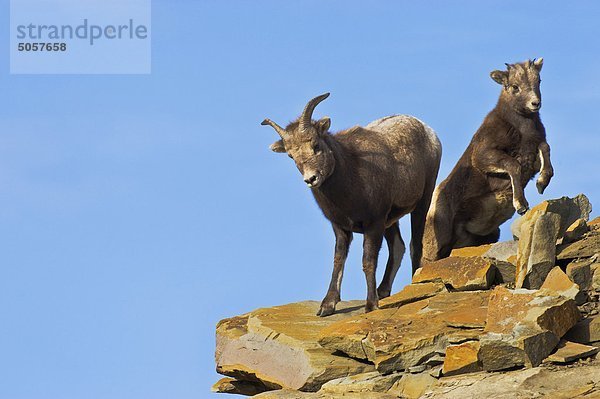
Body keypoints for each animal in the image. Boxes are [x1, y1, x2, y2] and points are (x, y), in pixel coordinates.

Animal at [262, 93, 440, 316]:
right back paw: (383, 291)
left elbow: (368, 261)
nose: (311, 179)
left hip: (421, 203)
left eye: (316, 145)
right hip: (390, 221)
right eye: (290, 155)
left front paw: (371, 305)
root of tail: (428, 131)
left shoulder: (374, 224)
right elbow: (338, 260)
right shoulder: (341, 228)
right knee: (397, 246)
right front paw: (327, 306)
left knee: (415, 245)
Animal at [422, 57, 552, 260]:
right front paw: (521, 206)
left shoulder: (533, 155)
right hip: (436, 243)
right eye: (515, 86)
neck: (522, 130)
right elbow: (513, 165)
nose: (535, 103)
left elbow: (545, 149)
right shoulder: (484, 156)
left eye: (538, 80)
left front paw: (542, 183)